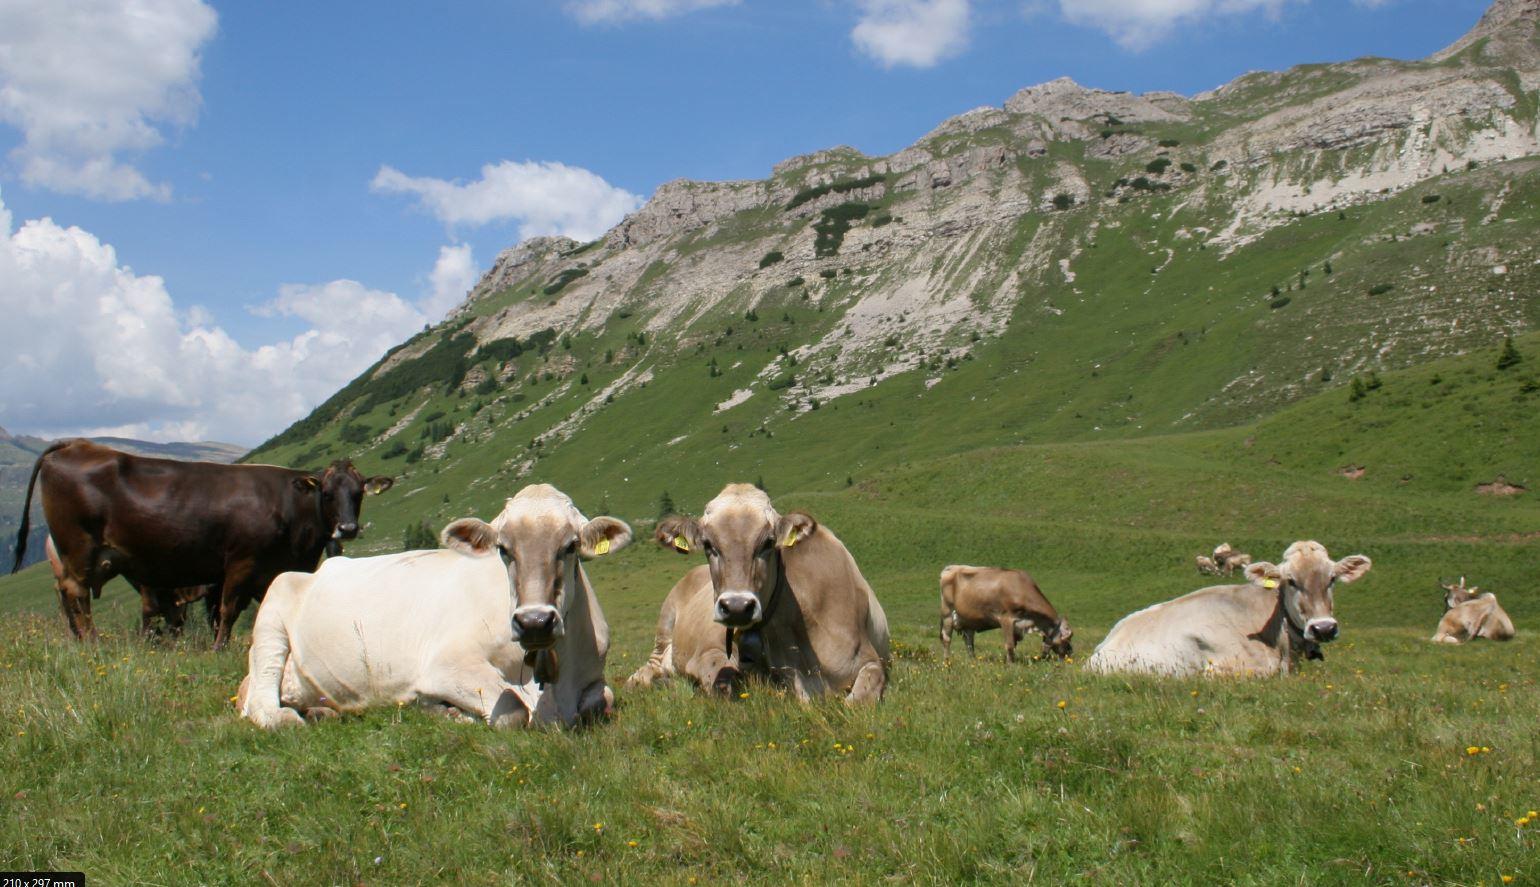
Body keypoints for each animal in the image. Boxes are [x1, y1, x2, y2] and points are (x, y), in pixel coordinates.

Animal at [10, 440, 391, 646]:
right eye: (326, 493)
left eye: (358, 493)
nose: (348, 528)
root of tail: (76, 444)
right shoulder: (240, 563)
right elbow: (227, 610)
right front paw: (219, 648)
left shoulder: (269, 572)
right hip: (79, 547)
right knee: (76, 592)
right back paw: (92, 642)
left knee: (67, 593)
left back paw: (79, 639)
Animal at [240, 486, 625, 726]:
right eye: (503, 549)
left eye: (570, 546)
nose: (534, 622)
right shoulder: (447, 666)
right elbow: (514, 710)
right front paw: (446, 711)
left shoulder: (593, 679)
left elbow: (602, 700)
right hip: (272, 611)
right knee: (260, 701)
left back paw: (322, 712)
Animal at [625, 480, 893, 702]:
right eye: (708, 545)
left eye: (768, 542)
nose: (736, 607)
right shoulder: (709, 652)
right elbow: (723, 679)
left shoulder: (871, 660)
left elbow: (858, 699)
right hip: (665, 622)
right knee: (652, 665)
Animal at [930, 563, 1078, 662]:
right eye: (1068, 638)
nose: (1070, 653)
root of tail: (950, 568)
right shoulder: (1006, 618)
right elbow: (1010, 645)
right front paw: (1011, 665)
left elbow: (1014, 644)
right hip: (947, 613)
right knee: (947, 639)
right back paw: (947, 661)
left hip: (968, 618)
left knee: (969, 641)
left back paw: (974, 661)